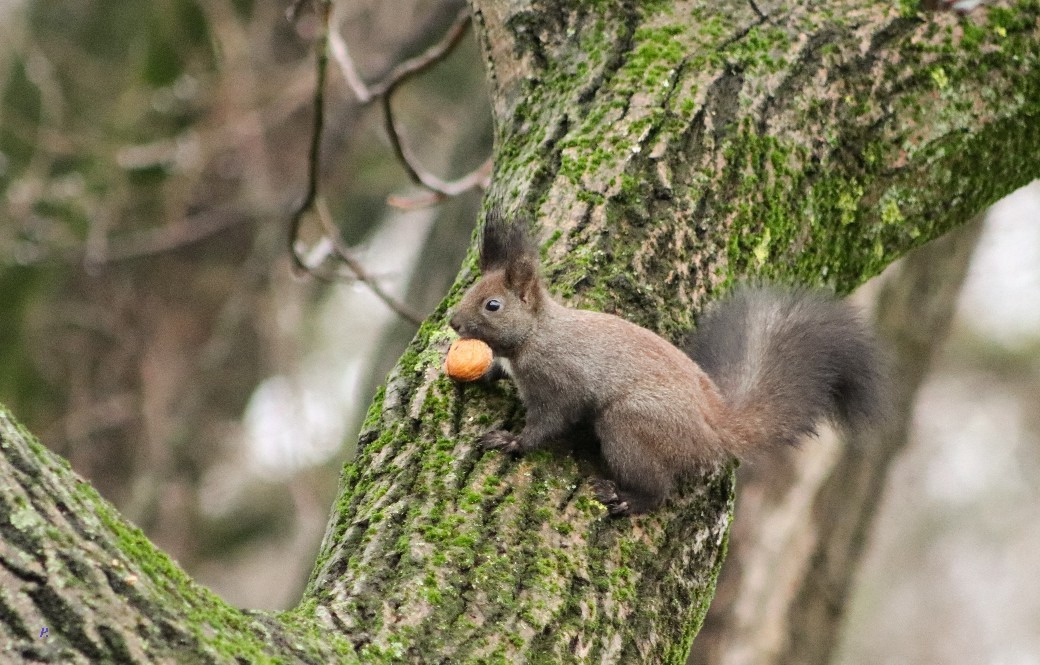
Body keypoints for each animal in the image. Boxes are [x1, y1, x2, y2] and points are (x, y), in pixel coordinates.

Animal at [449, 210, 886, 518]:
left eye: (492, 305)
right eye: (471, 290)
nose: (453, 322)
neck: (536, 334)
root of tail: (713, 430)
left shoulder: (559, 381)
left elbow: (548, 423)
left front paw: (511, 441)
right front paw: (476, 375)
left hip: (633, 424)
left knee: (657, 489)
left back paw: (625, 499)